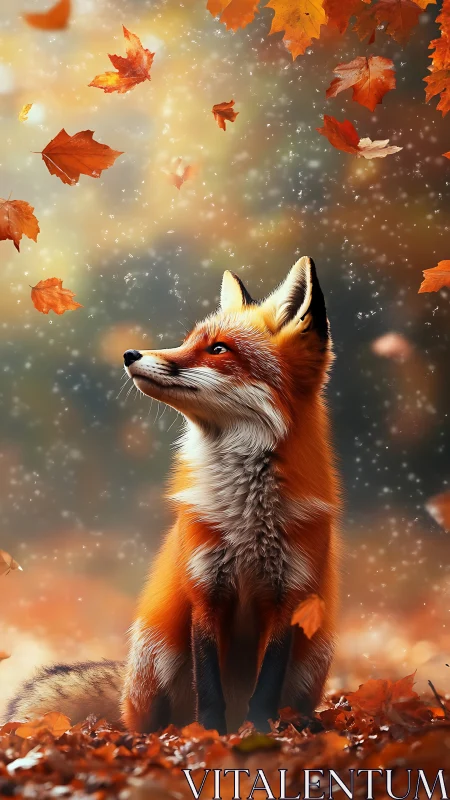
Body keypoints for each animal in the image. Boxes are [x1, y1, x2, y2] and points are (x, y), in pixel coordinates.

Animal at [5, 256, 340, 734]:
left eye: (218, 349)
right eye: (187, 342)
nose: (130, 354)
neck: (248, 517)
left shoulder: (289, 598)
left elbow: (267, 685)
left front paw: (258, 733)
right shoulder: (204, 590)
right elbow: (209, 683)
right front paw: (210, 735)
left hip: (314, 657)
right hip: (159, 648)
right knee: (147, 718)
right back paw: (167, 733)